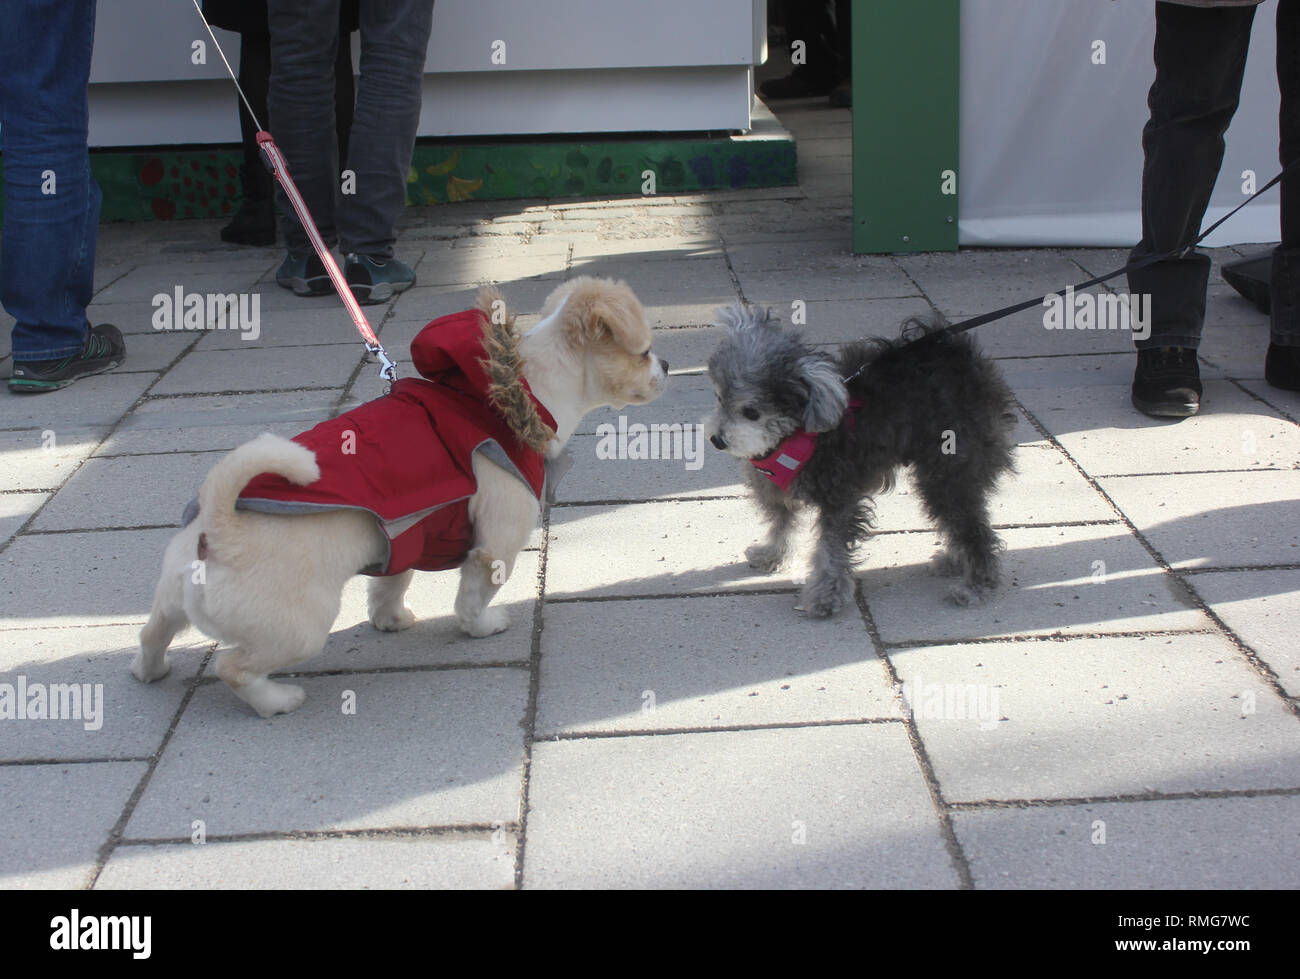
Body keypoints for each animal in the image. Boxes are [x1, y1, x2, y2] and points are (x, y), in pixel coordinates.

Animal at [130, 278, 665, 712]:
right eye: (643, 352)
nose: (667, 360)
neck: (513, 391)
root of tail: (222, 529)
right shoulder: (494, 547)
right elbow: (472, 600)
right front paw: (482, 627)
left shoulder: (406, 537)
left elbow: (391, 584)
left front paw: (391, 620)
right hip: (299, 629)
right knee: (234, 668)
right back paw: (278, 700)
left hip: (171, 601)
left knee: (152, 632)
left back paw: (148, 671)